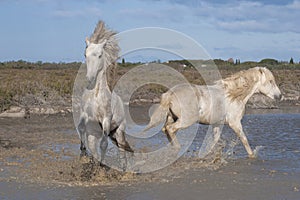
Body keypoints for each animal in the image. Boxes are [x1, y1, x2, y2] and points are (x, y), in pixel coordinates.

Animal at [144, 67, 282, 158]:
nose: (280, 96)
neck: (233, 95)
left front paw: (205, 155)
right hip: (186, 120)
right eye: (270, 81)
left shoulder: (217, 123)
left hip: (172, 117)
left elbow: (213, 141)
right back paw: (177, 148)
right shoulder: (235, 123)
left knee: (166, 129)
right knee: (170, 129)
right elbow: (244, 140)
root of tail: (170, 94)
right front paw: (252, 156)